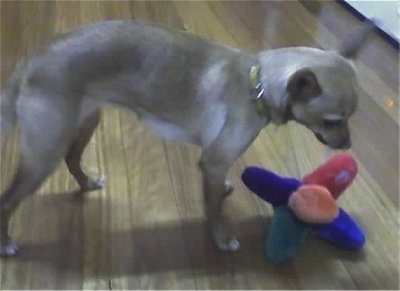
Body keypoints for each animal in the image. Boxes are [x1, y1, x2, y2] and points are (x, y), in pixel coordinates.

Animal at [0, 20, 376, 256]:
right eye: (331, 121)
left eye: (351, 118)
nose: (348, 146)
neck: (256, 84)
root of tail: (29, 62)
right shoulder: (215, 160)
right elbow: (213, 208)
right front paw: (221, 239)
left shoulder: (215, 161)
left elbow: (216, 191)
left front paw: (224, 193)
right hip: (43, 154)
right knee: (8, 199)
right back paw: (6, 243)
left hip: (84, 123)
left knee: (72, 158)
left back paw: (87, 183)